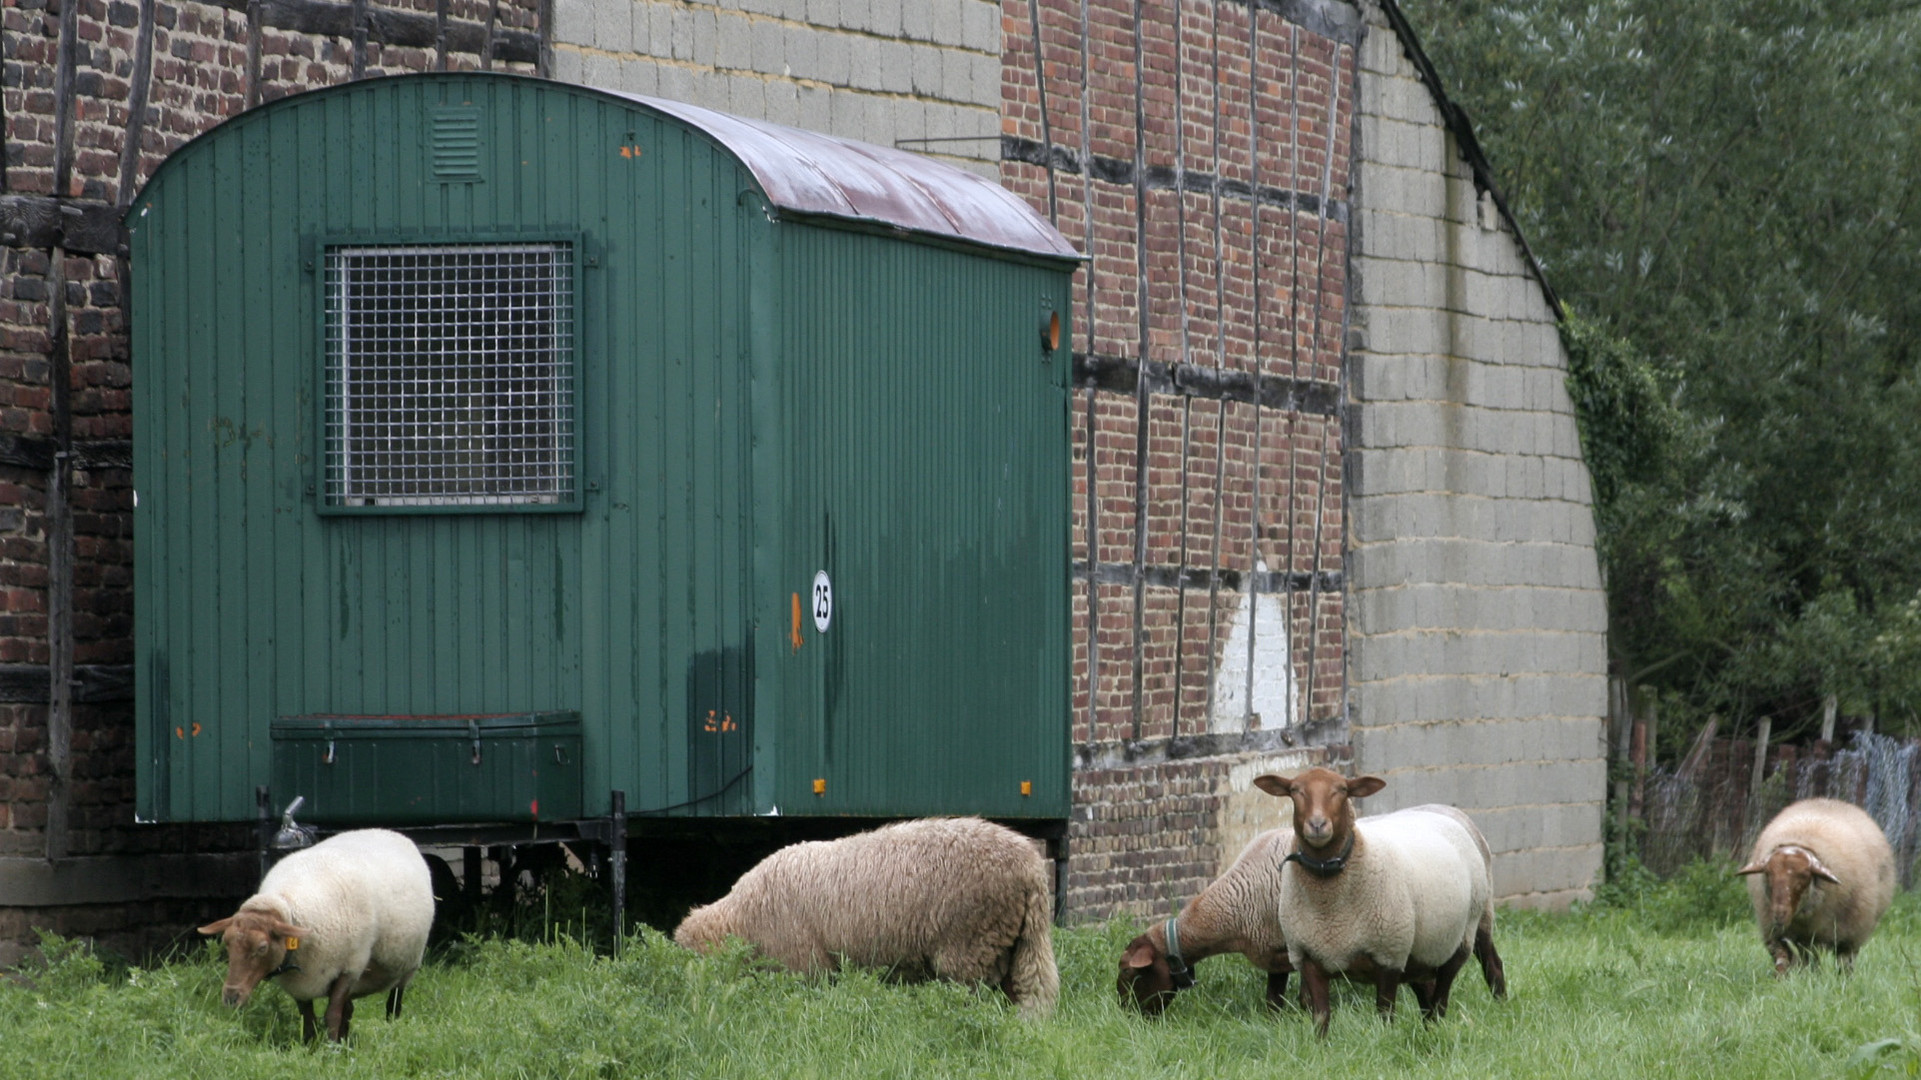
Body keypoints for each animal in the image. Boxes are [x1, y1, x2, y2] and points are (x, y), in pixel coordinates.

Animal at [195, 826, 436, 1037]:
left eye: (262, 948)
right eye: (227, 943)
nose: (231, 998)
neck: (292, 907)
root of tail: (387, 831)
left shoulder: (350, 967)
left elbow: (332, 1015)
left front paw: (331, 1049)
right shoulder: (300, 982)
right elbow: (308, 1017)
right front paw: (310, 1046)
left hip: (407, 967)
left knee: (393, 1003)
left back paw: (389, 1029)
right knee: (350, 1009)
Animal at [672, 810, 1068, 1014]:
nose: (693, 1006)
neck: (742, 917)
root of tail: (1029, 866)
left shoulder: (806, 965)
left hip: (969, 943)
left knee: (973, 997)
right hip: (1020, 940)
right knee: (1030, 993)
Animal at [1252, 764, 1506, 1037]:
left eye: (1342, 790)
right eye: (1295, 791)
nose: (1317, 824)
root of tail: (1449, 813)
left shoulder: (1389, 955)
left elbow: (1385, 1014)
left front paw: (1384, 1039)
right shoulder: (1308, 956)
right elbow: (1320, 1018)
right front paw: (1321, 1043)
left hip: (1470, 925)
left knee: (1462, 980)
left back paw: (1488, 1008)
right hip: (1422, 948)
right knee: (1427, 991)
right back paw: (1429, 1028)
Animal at [1736, 795, 1897, 972]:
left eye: (1805, 876)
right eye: (1769, 874)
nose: (1779, 914)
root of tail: (1831, 800)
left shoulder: (1829, 935)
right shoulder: (1774, 933)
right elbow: (1783, 960)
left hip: (1852, 933)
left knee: (1843, 961)